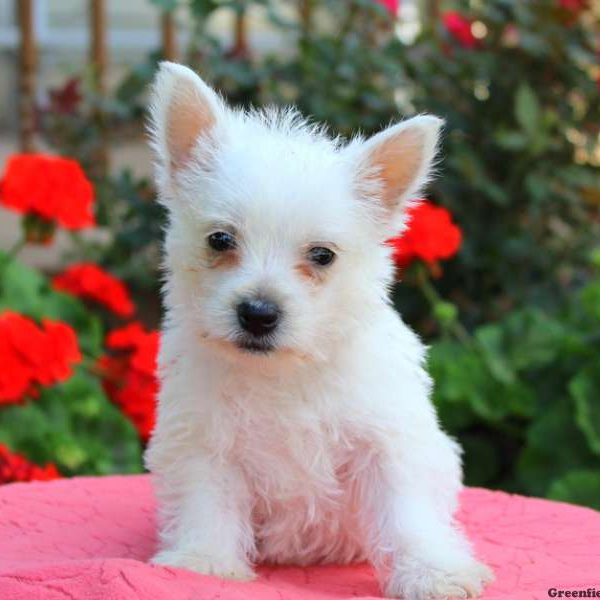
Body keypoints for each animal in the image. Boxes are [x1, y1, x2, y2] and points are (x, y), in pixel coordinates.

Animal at [145, 62, 492, 600]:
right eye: (220, 240)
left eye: (322, 255)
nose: (258, 313)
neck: (286, 371)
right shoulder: (204, 441)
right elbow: (208, 502)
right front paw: (203, 561)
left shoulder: (387, 444)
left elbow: (407, 516)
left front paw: (434, 573)